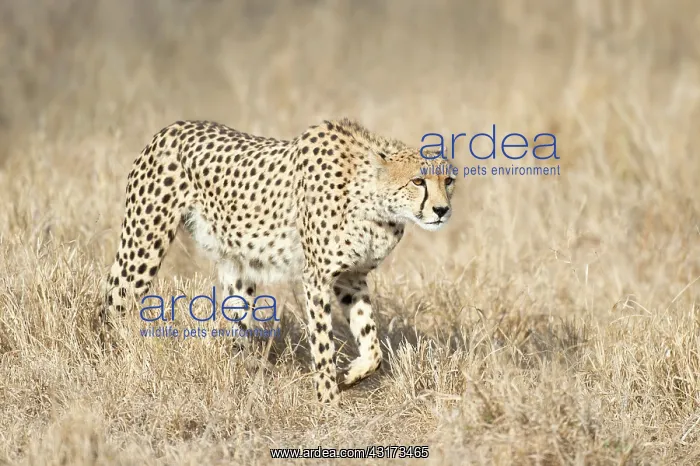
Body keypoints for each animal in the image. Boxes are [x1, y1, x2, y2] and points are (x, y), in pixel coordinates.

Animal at [99, 117, 456, 403]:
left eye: (448, 180)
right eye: (418, 181)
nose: (442, 210)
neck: (375, 204)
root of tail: (172, 127)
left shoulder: (351, 278)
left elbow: (372, 343)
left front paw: (351, 375)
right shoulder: (316, 277)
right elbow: (323, 343)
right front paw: (328, 401)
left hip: (238, 268)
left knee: (236, 326)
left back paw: (247, 374)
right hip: (144, 244)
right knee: (113, 301)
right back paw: (114, 361)